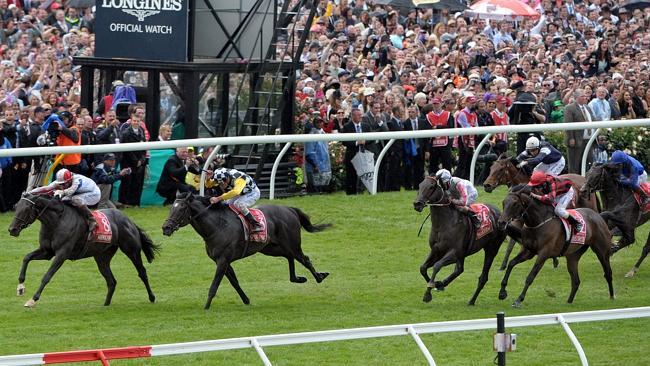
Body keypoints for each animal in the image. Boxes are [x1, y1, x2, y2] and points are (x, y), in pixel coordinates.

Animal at [8, 193, 159, 308]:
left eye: (26, 209)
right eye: (16, 207)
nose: (12, 230)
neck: (57, 222)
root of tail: (129, 220)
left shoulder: (62, 254)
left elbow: (47, 276)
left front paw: (32, 299)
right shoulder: (47, 252)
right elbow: (27, 257)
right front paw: (20, 287)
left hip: (131, 250)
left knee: (142, 273)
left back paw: (152, 297)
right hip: (102, 257)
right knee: (111, 281)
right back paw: (105, 304)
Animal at [412, 177, 508, 306]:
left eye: (431, 186)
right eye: (420, 185)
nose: (417, 204)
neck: (443, 224)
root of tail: (500, 214)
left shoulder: (455, 252)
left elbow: (437, 266)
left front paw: (428, 293)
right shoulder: (437, 251)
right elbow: (423, 268)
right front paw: (436, 285)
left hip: (492, 248)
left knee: (483, 277)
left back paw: (472, 300)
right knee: (459, 269)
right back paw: (443, 283)